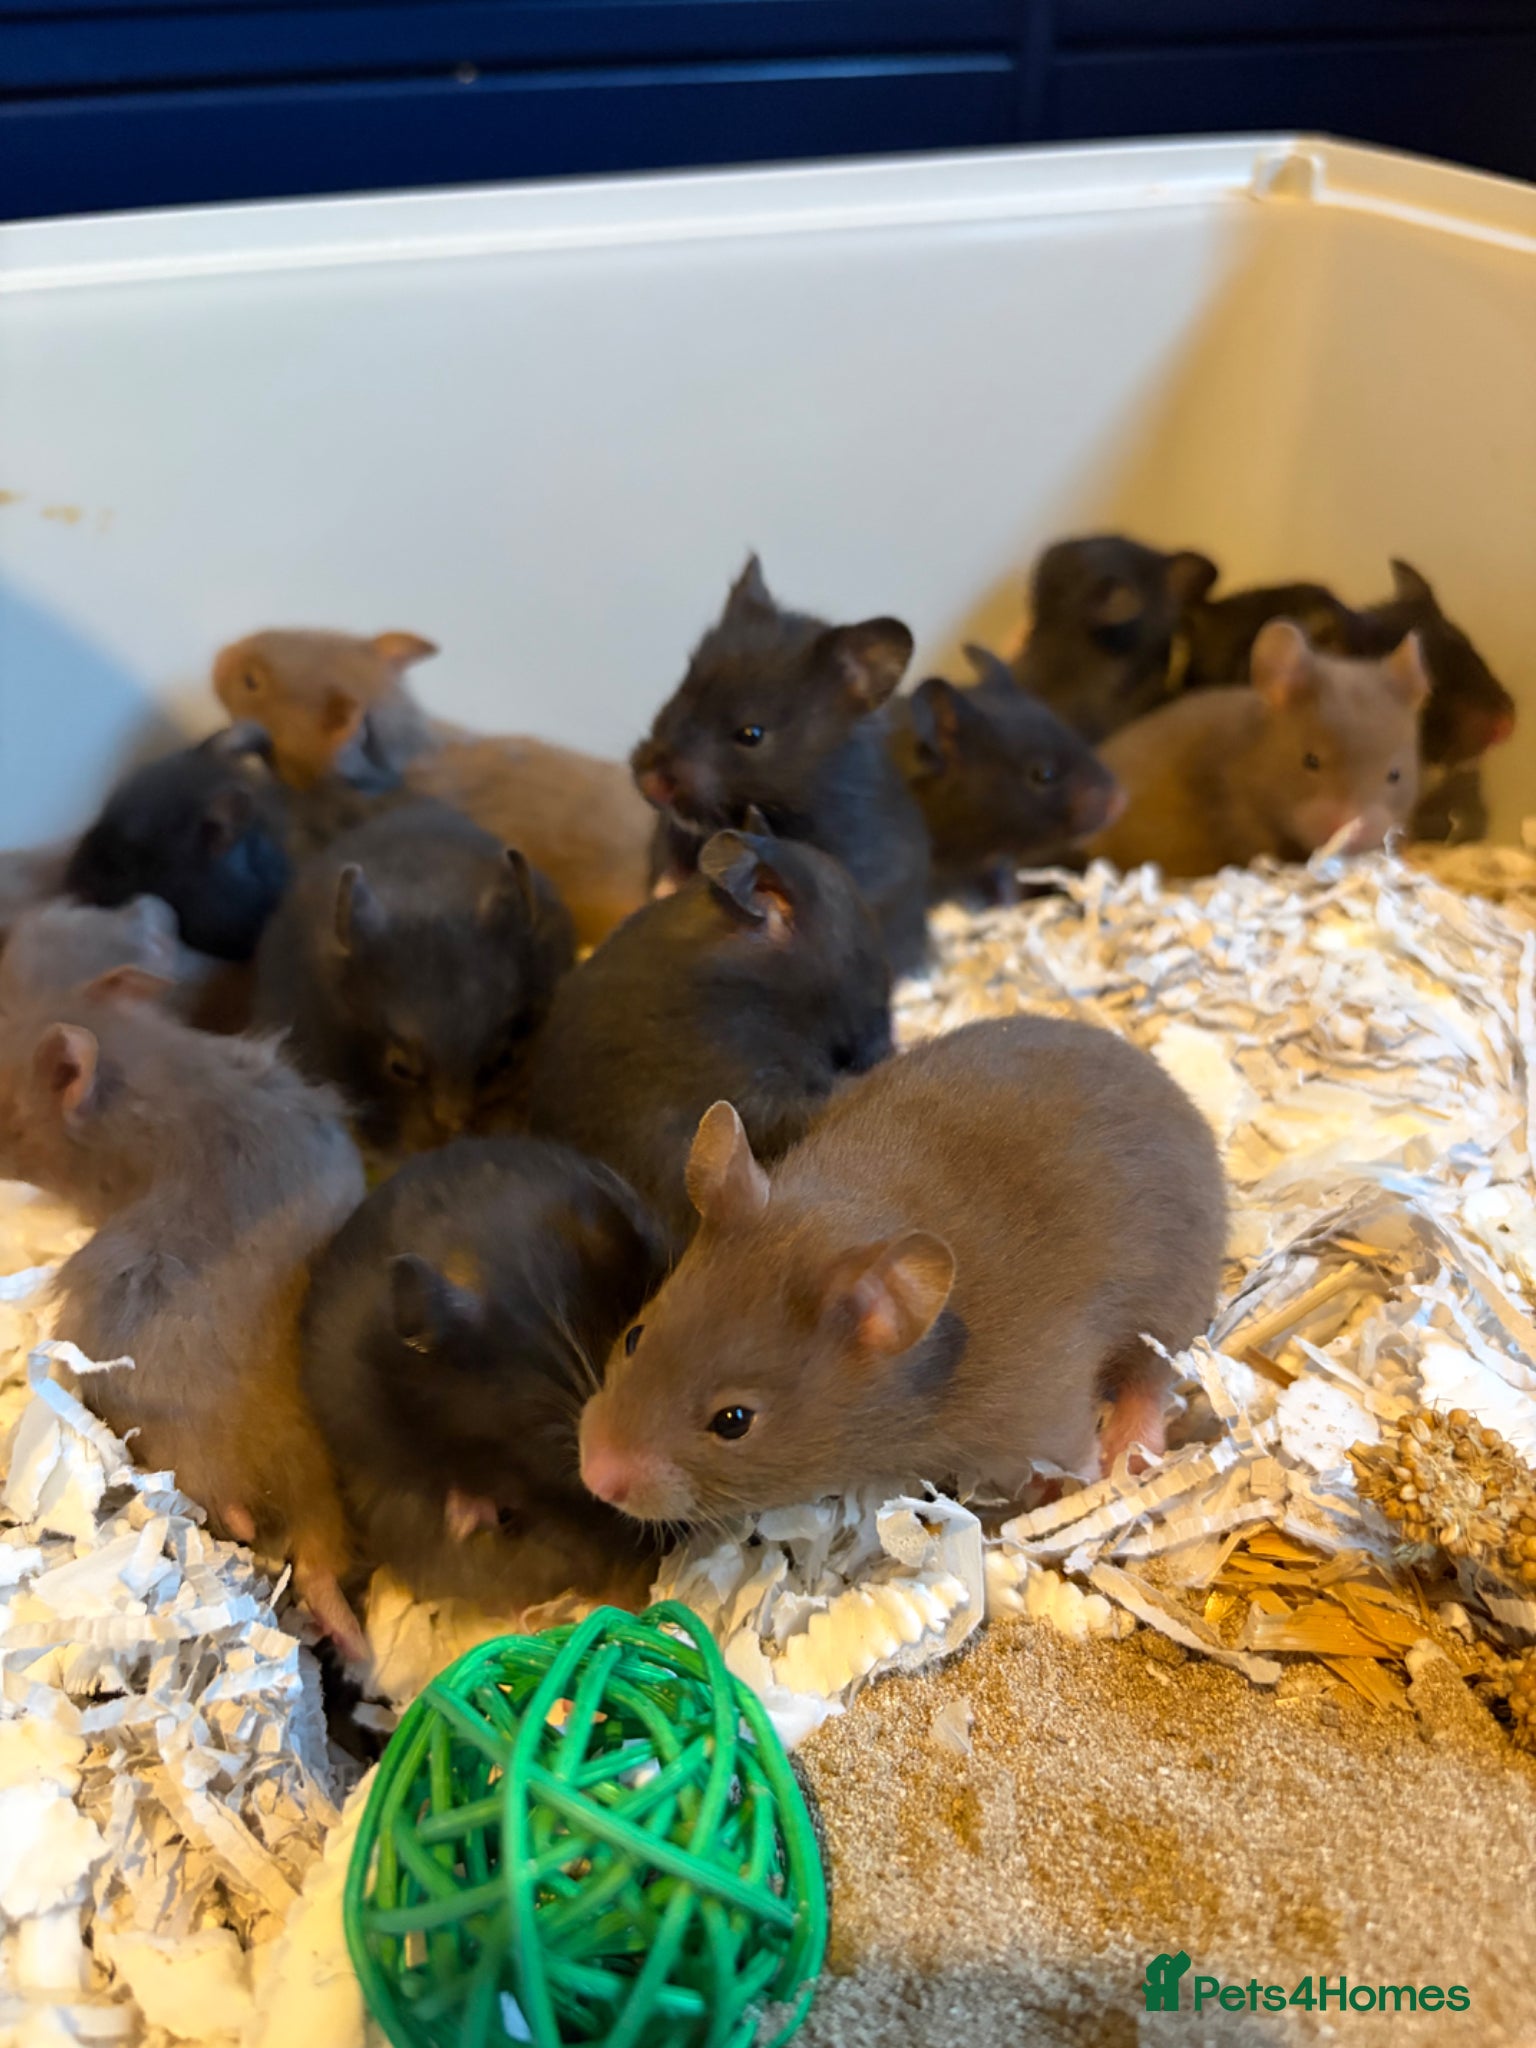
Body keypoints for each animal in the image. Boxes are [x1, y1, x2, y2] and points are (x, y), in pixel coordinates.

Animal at [578, 1014, 1226, 1521]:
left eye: (734, 1421)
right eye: (633, 1337)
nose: (594, 1476)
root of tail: (1167, 1086)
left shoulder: (1047, 1410)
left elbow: (1068, 1457)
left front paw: (1066, 1488)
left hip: (1174, 1299)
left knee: (1150, 1380)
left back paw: (1129, 1458)